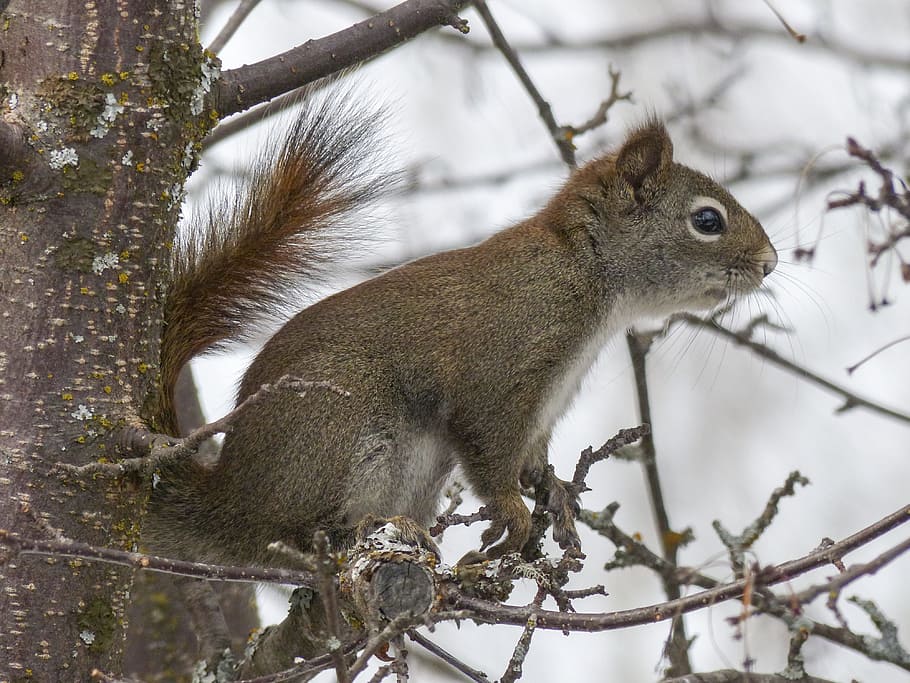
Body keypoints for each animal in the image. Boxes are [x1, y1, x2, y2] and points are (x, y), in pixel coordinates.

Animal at [144, 96, 778, 568]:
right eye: (707, 220)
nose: (771, 263)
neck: (585, 273)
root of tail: (231, 501)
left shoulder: (545, 403)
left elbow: (533, 457)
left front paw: (553, 492)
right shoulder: (501, 372)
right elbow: (490, 449)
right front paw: (514, 511)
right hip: (337, 426)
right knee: (296, 533)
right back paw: (373, 528)